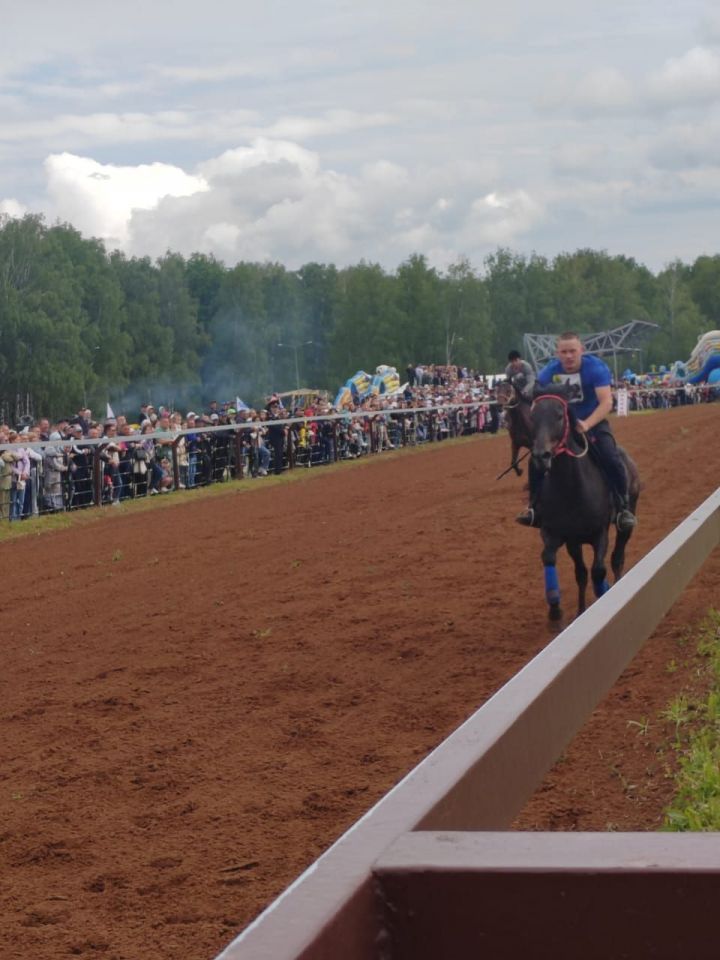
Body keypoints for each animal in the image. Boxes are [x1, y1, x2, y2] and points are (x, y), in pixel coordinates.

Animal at [528, 384, 640, 624]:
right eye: (532, 416)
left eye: (559, 416)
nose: (541, 456)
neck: (572, 489)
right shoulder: (561, 535)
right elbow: (560, 563)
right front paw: (559, 609)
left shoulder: (600, 533)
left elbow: (598, 570)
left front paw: (604, 593)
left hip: (626, 521)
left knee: (617, 558)